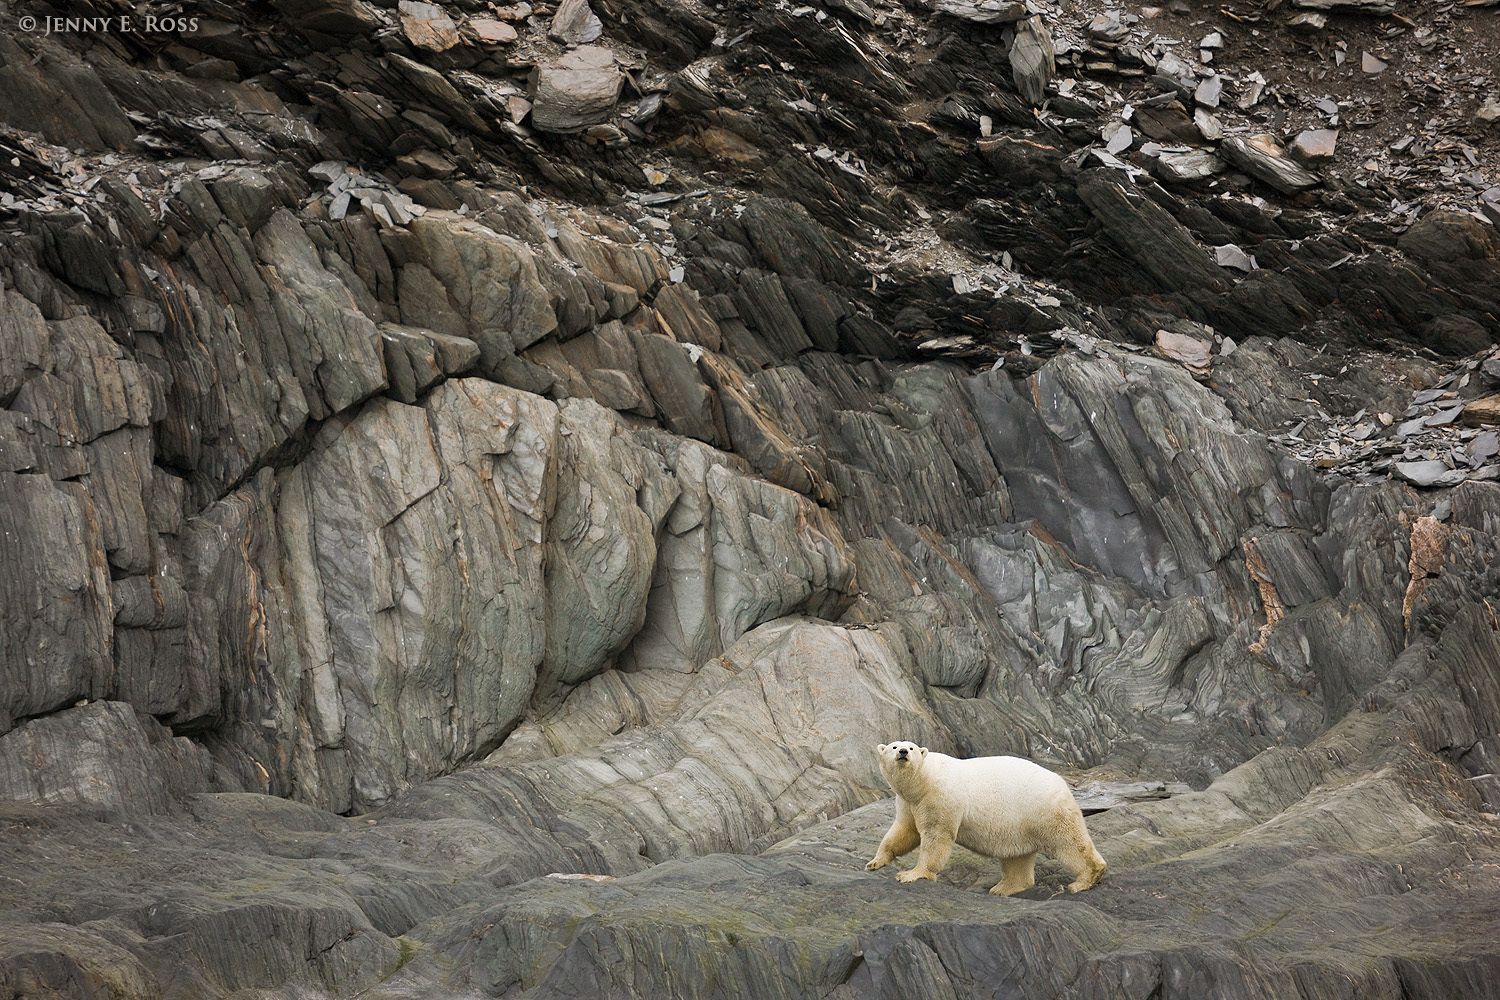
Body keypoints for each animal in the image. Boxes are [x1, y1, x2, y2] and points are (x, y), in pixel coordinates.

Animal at [864, 741, 1107, 896]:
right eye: (894, 746)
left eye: (912, 747)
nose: (903, 751)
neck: (924, 779)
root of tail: (1063, 784)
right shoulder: (909, 802)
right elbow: (904, 831)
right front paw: (875, 862)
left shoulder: (940, 797)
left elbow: (936, 836)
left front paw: (911, 874)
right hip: (1019, 824)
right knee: (1017, 858)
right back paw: (1003, 888)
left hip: (1044, 811)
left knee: (1068, 842)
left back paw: (1084, 880)